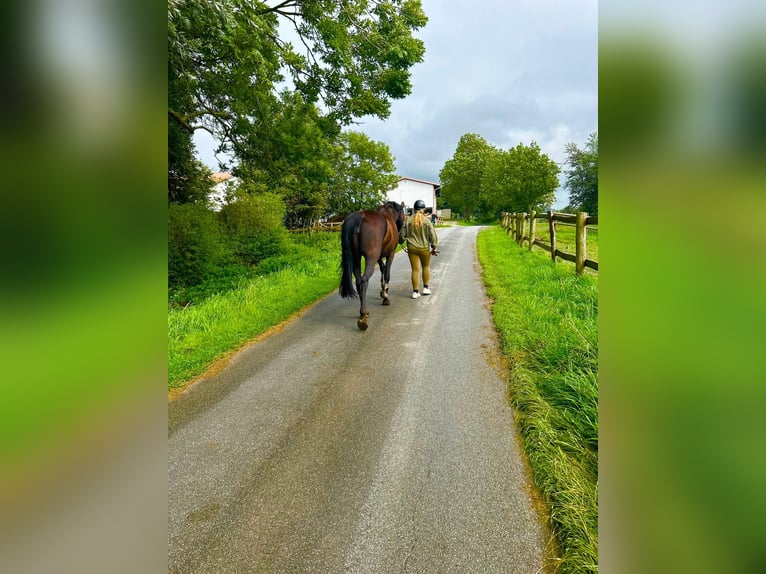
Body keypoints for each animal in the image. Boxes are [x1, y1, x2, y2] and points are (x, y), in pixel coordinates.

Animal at [340, 201, 404, 330]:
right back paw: (363, 316)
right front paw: (385, 296)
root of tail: (358, 218)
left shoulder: (379, 257)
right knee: (364, 280)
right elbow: (387, 273)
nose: (401, 239)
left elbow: (382, 269)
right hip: (371, 259)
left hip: (356, 258)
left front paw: (383, 291)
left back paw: (363, 312)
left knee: (358, 281)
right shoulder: (390, 254)